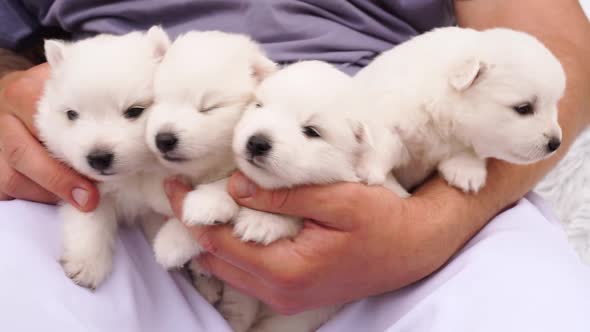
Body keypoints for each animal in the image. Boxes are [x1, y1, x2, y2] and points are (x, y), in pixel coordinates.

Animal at [35, 27, 171, 290]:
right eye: (72, 114)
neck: (131, 176)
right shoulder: (84, 187)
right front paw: (86, 264)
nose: (98, 158)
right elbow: (90, 219)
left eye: (134, 111)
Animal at [354, 28, 568, 196]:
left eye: (554, 104)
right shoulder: (386, 109)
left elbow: (467, 150)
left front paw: (466, 172)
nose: (555, 144)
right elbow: (384, 138)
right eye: (523, 108)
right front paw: (370, 170)